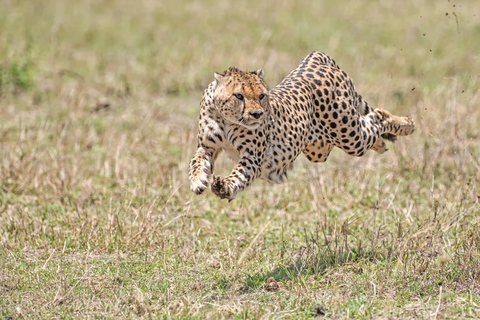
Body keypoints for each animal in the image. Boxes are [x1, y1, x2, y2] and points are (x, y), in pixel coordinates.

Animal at [189, 51, 414, 201]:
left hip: (350, 138)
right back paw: (383, 142)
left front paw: (225, 186)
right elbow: (196, 161)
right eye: (239, 96)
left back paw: (407, 124)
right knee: (368, 126)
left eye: (261, 96)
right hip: (319, 149)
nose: (258, 114)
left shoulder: (252, 157)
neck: (227, 119)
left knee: (377, 116)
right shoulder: (207, 147)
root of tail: (313, 59)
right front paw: (198, 180)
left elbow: (237, 175)